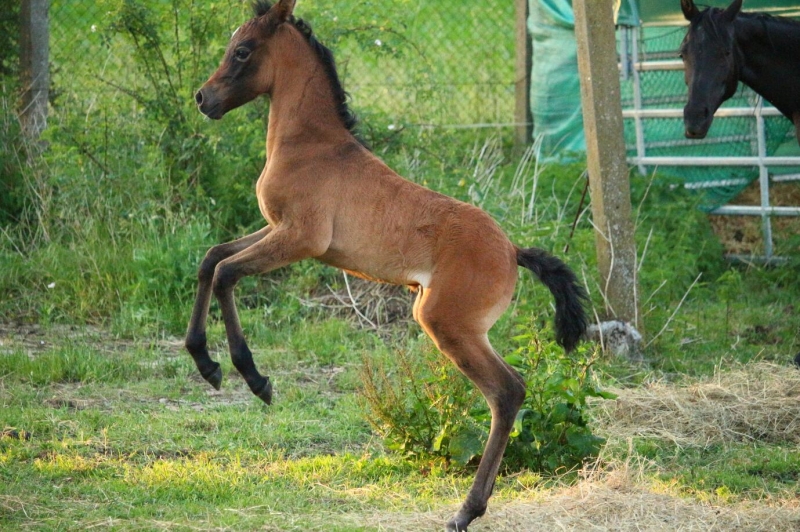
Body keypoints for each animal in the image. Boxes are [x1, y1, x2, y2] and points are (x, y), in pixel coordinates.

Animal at [188, 2, 588, 528]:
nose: (203, 98)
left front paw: (253, 379)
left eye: (242, 50)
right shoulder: (276, 229)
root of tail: (511, 251)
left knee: (507, 393)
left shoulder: (300, 238)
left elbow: (226, 273)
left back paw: (466, 511)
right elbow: (211, 259)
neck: (310, 145)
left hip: (445, 324)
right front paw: (205, 363)